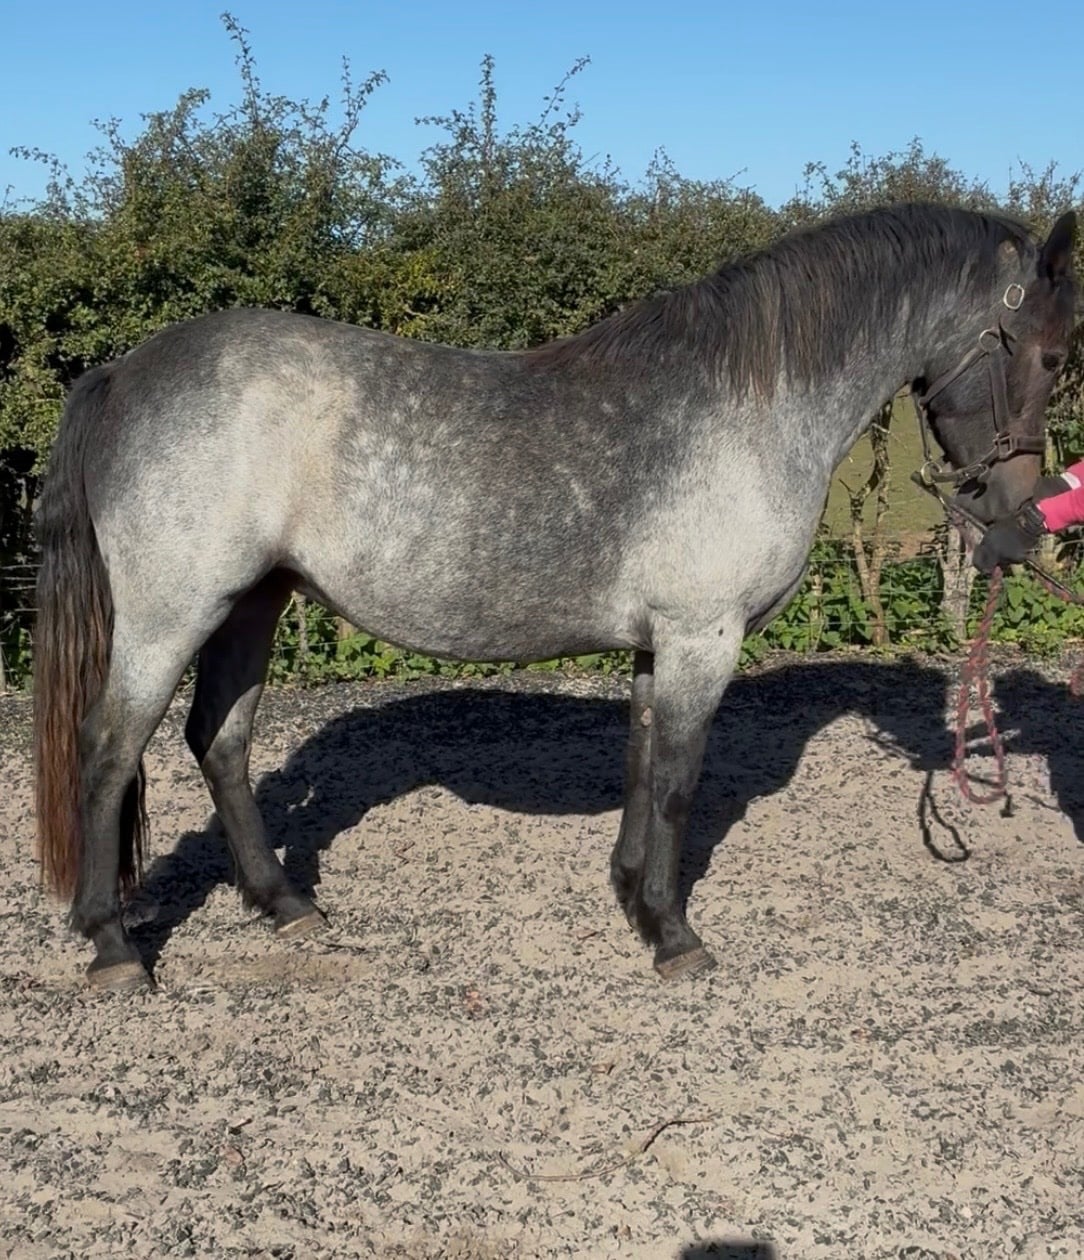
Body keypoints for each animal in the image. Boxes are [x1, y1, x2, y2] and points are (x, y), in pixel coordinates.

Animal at [32, 202, 1078, 991]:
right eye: (1053, 356)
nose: (1023, 520)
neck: (750, 407)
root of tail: (125, 371)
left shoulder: (664, 642)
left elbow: (643, 764)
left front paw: (634, 901)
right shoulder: (703, 638)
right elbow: (680, 782)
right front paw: (676, 937)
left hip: (254, 601)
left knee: (221, 739)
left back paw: (285, 905)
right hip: (170, 616)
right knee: (109, 749)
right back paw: (114, 947)